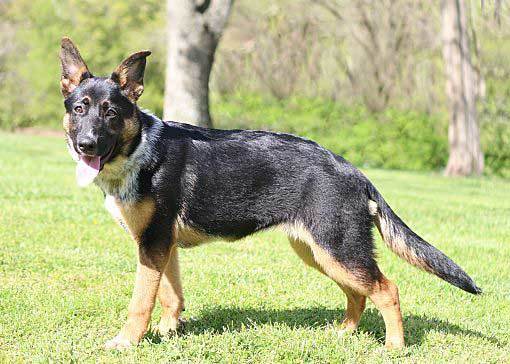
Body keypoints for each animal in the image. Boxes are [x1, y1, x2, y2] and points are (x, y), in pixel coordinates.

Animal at [57, 37, 480, 350]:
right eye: (80, 109)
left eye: (111, 113)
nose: (86, 145)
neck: (141, 149)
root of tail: (354, 171)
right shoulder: (162, 246)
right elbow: (169, 296)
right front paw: (168, 333)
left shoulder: (153, 244)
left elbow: (140, 302)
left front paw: (127, 342)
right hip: (319, 252)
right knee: (359, 293)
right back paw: (343, 333)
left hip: (338, 249)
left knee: (387, 289)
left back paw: (393, 347)